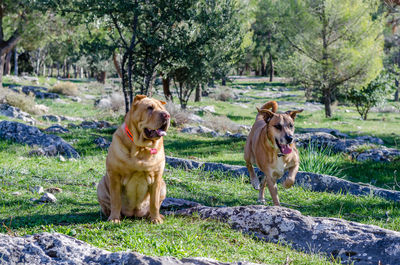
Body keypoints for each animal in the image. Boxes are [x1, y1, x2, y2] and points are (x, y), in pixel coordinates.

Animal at [99, 94, 172, 223]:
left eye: (163, 109)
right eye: (149, 108)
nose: (167, 115)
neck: (141, 148)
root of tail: (134, 213)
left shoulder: (157, 178)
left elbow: (154, 203)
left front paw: (156, 219)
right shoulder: (114, 176)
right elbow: (115, 201)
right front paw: (114, 219)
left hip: (163, 186)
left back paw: (156, 216)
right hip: (101, 185)